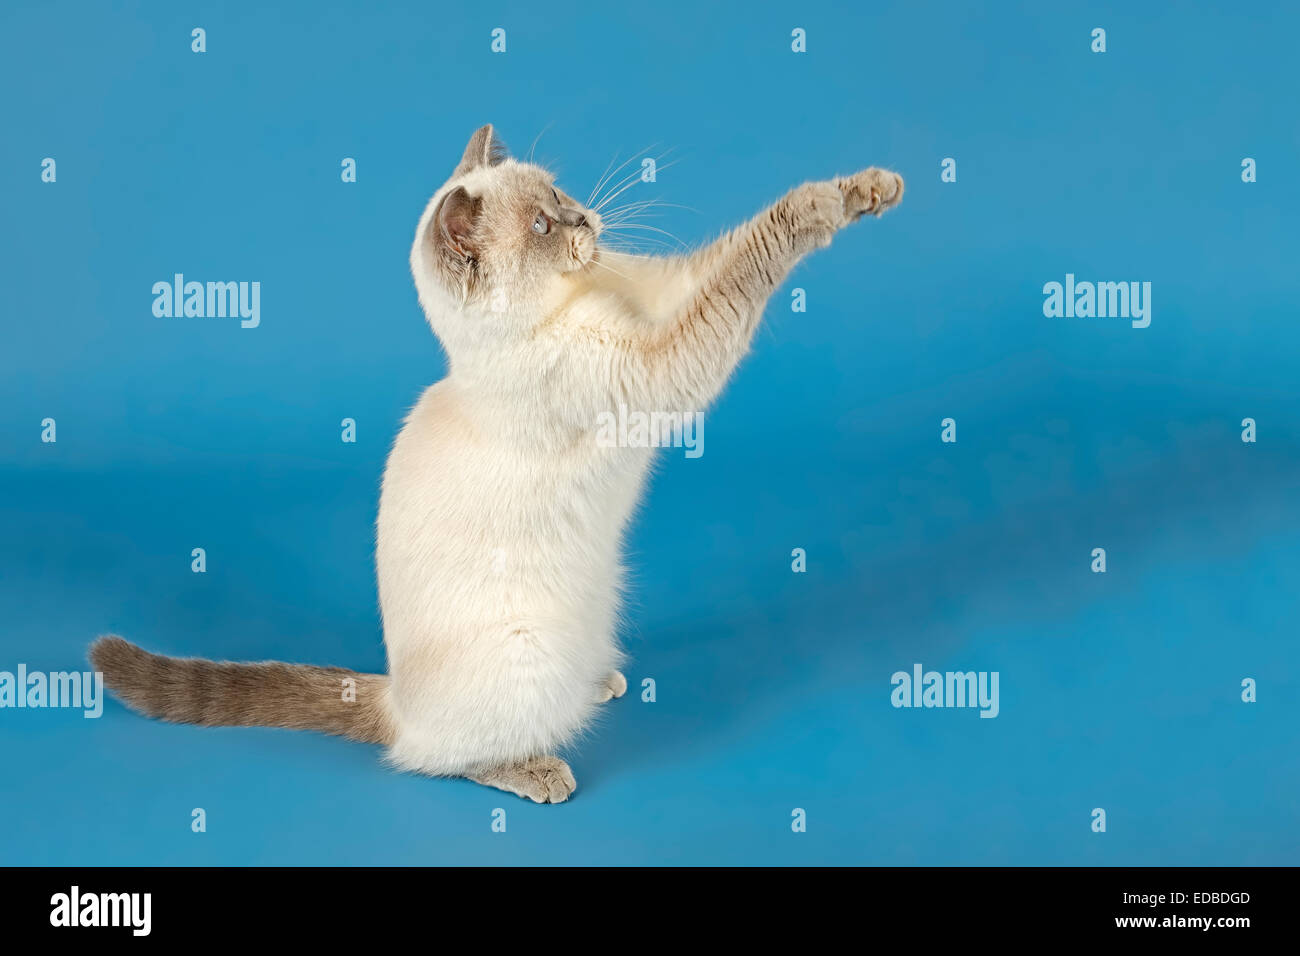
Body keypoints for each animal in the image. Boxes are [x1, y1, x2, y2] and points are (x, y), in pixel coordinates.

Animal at [91, 125, 904, 801]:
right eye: (541, 227)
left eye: (561, 196)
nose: (586, 222)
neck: (577, 300)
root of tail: (394, 697)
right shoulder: (667, 364)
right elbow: (754, 257)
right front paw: (817, 208)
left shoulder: (660, 296)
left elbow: (733, 246)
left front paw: (865, 189)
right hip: (525, 659)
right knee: (435, 759)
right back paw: (537, 769)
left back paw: (600, 681)